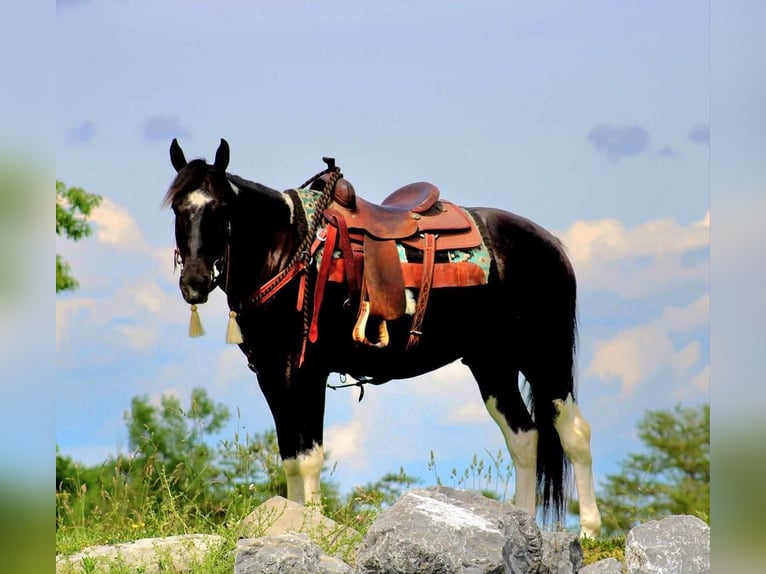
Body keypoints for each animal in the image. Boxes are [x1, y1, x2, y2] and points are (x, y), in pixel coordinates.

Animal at [165, 140, 604, 540]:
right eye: (177, 209)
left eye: (220, 209)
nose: (194, 283)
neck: (289, 251)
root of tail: (550, 244)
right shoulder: (272, 374)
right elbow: (289, 456)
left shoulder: (306, 371)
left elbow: (308, 457)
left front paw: (311, 527)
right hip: (492, 363)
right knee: (524, 437)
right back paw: (523, 524)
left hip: (544, 355)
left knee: (574, 432)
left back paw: (588, 532)